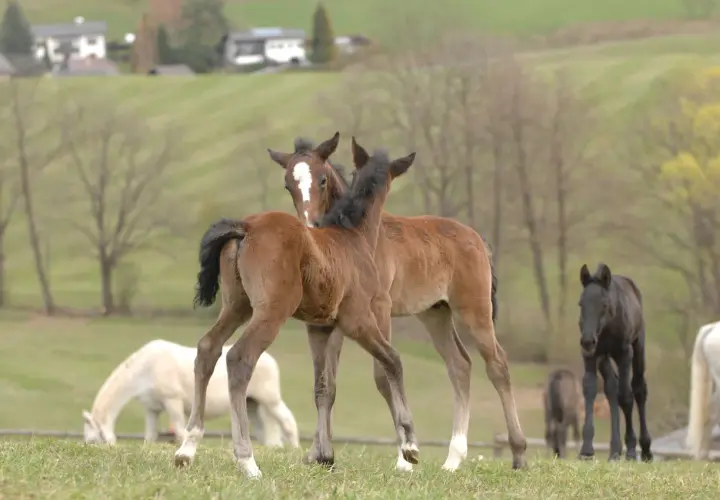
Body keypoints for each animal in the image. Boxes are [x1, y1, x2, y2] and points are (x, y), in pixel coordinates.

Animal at [82, 339, 299, 448]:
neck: (146, 368)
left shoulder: (173, 401)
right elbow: (150, 436)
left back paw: (294, 448)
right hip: (251, 402)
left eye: (92, 441)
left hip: (270, 400)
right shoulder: (152, 409)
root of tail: (268, 359)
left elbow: (180, 429)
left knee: (287, 421)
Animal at [173, 133, 420, 479]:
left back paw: (187, 449)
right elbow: (393, 362)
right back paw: (247, 460)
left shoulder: (321, 327)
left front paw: (322, 455)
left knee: (208, 348)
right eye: (288, 184)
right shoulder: (358, 319)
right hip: (271, 311)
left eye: (323, 179)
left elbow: (324, 386)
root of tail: (246, 227)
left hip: (237, 306)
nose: (311, 222)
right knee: (239, 358)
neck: (352, 236)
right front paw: (409, 446)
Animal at [266, 136, 527, 471]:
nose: (310, 226)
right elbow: (326, 386)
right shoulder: (328, 322)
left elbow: (382, 376)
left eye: (322, 180)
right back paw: (453, 459)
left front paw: (405, 457)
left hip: (474, 310)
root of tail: (478, 239)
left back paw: (518, 453)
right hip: (435, 313)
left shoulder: (379, 309)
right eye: (288, 185)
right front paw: (319, 454)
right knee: (459, 365)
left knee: (497, 365)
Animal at [577, 263, 652, 462]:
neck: (607, 327)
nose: (587, 340)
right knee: (612, 387)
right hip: (604, 358)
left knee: (638, 389)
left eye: (603, 304)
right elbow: (590, 389)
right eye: (581, 304)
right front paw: (586, 449)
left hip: (638, 345)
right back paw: (615, 450)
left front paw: (632, 450)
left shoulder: (624, 354)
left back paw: (645, 449)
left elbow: (626, 396)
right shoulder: (591, 355)